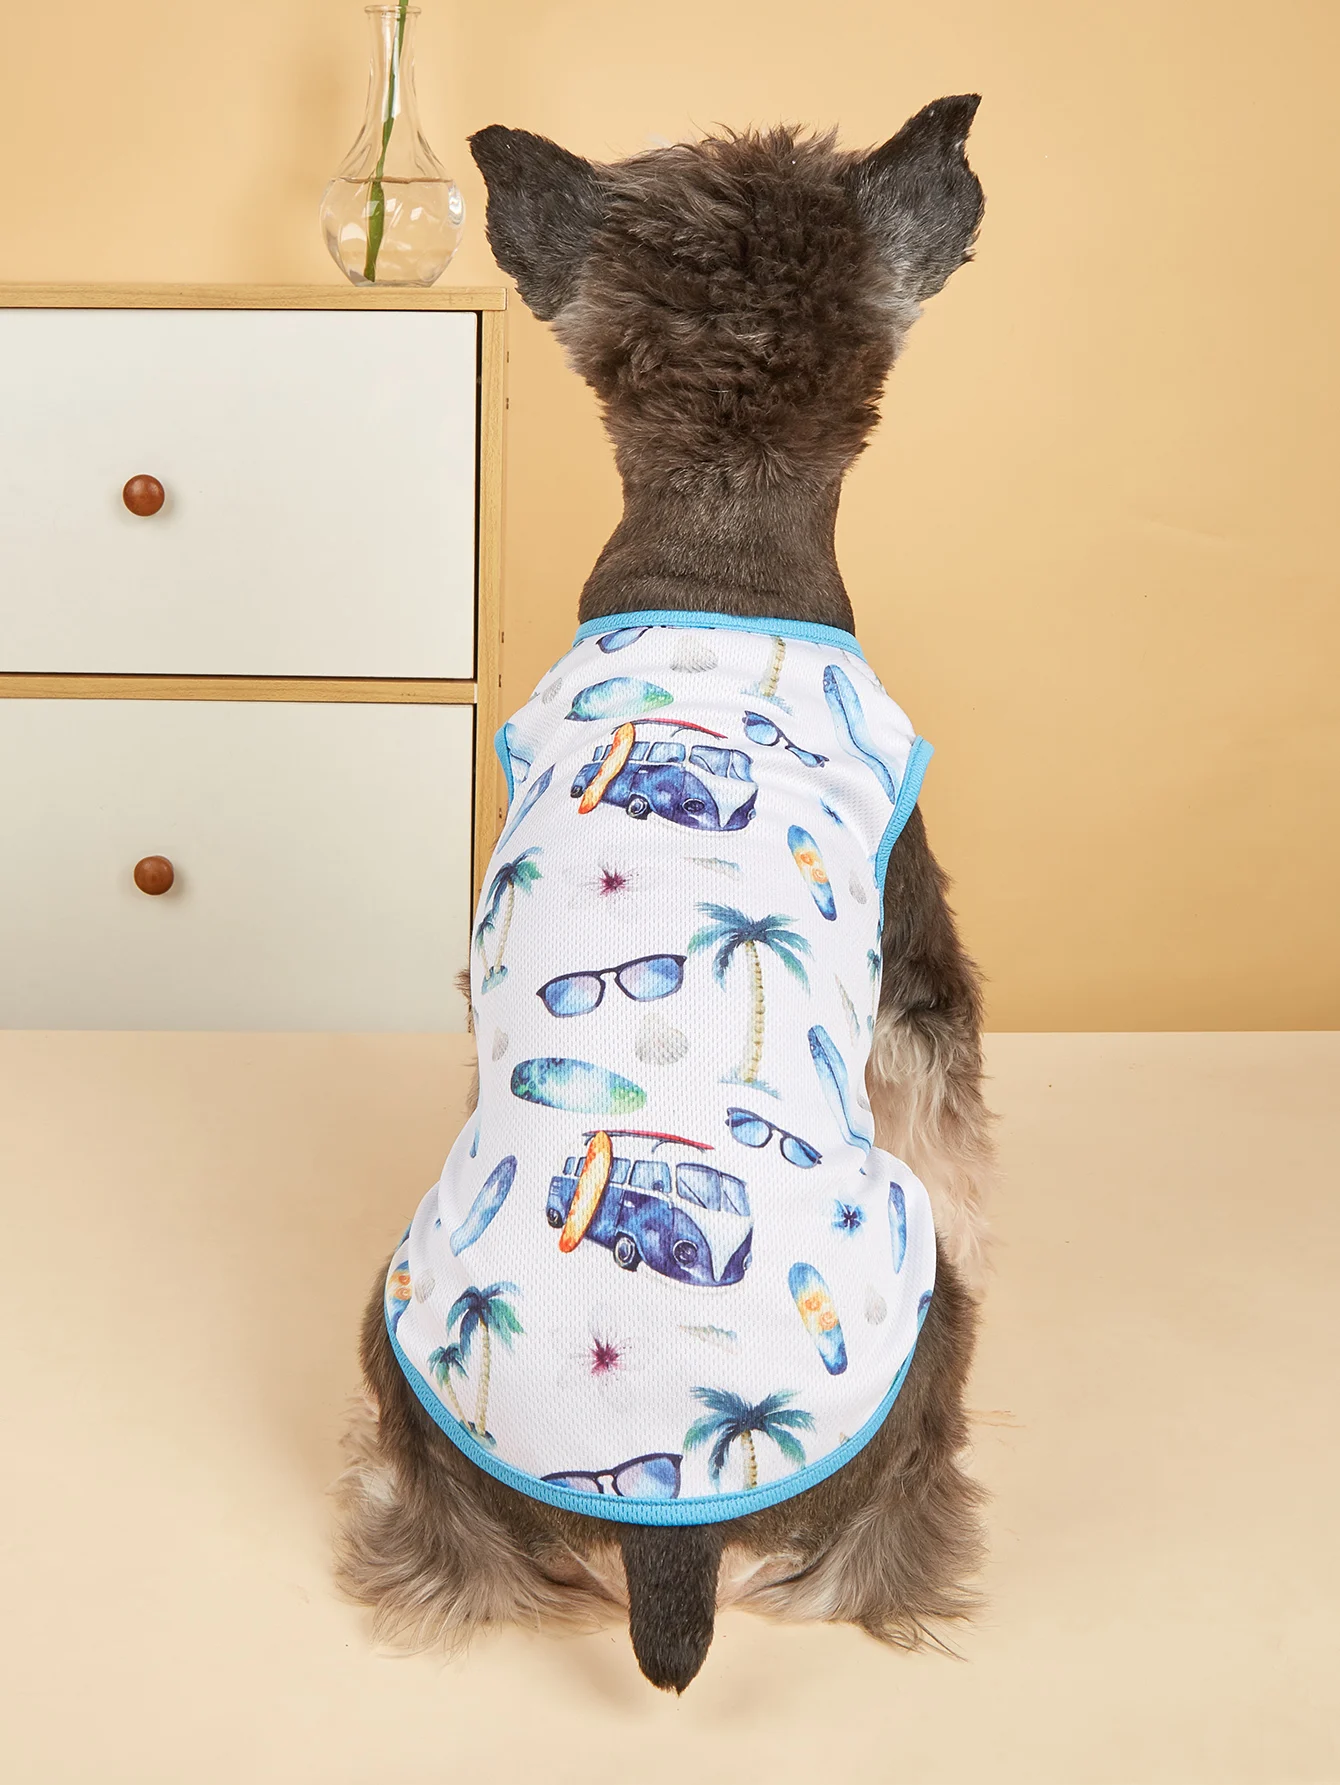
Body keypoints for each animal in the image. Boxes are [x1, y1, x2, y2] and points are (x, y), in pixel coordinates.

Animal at [337, 97, 995, 1694]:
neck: (719, 564)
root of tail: (670, 1542)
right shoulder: (923, 968)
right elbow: (957, 1133)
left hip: (397, 1340)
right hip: (930, 1330)